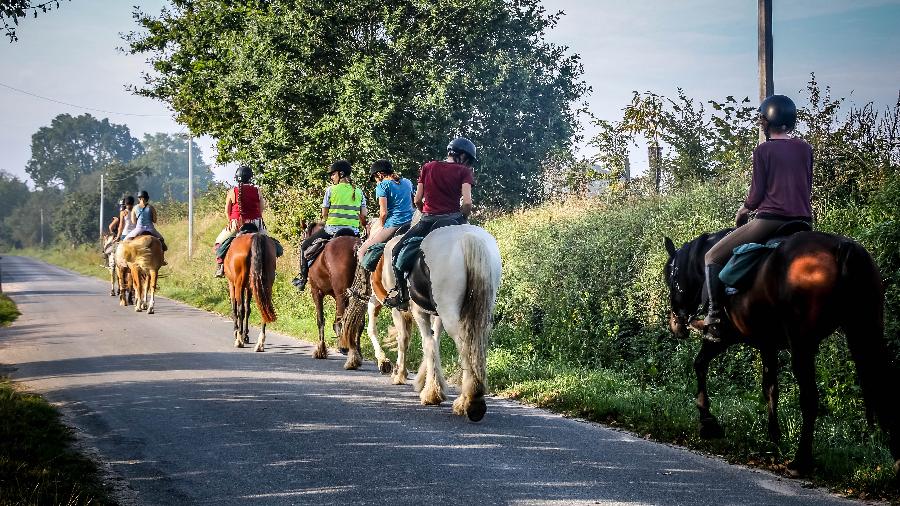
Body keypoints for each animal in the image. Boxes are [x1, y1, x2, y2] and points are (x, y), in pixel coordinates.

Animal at [298, 221, 362, 368]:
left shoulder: (316, 292)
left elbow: (321, 320)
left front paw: (321, 350)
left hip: (341, 294)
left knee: (343, 320)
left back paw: (346, 350)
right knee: (358, 322)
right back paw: (357, 352)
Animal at [370, 219, 502, 422]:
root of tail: (468, 238)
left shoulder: (411, 311)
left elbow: (419, 342)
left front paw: (426, 390)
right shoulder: (435, 313)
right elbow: (435, 339)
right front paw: (427, 382)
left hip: (447, 311)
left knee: (464, 346)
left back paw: (471, 401)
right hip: (479, 309)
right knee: (476, 343)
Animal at [660, 230, 900, 478]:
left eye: (670, 277)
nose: (675, 325)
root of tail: (842, 246)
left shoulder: (724, 337)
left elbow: (699, 364)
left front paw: (707, 422)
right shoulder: (767, 344)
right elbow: (770, 389)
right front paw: (774, 436)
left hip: (803, 343)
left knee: (810, 399)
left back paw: (800, 461)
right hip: (866, 330)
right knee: (884, 386)